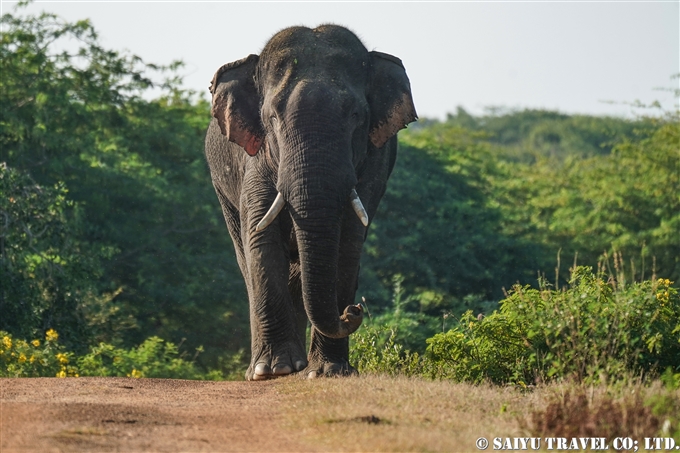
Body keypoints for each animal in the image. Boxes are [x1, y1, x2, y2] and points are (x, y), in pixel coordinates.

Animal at [203, 23, 414, 378]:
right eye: (272, 118)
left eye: (356, 115)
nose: (353, 309)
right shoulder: (255, 160)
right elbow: (261, 239)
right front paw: (273, 370)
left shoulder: (374, 163)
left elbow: (348, 242)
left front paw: (329, 372)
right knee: (247, 258)